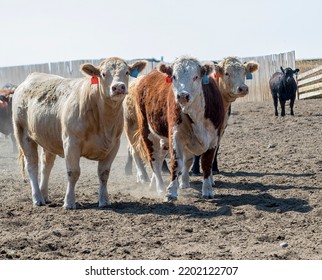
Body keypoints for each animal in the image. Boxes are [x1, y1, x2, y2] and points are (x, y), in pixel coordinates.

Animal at [12, 57, 146, 209]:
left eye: (127, 72)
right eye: (103, 74)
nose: (118, 87)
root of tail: (31, 77)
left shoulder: (114, 145)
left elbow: (104, 173)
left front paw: (104, 200)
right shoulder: (71, 143)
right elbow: (73, 172)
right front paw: (69, 202)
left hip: (49, 138)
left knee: (46, 166)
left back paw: (44, 194)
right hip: (23, 134)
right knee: (32, 166)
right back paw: (37, 198)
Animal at [135, 55, 224, 200]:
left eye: (195, 77)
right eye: (174, 76)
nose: (182, 96)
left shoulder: (214, 138)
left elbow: (205, 163)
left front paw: (207, 190)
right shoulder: (175, 136)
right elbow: (177, 163)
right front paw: (171, 191)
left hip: (164, 140)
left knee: (162, 158)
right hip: (147, 131)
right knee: (155, 161)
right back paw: (160, 187)